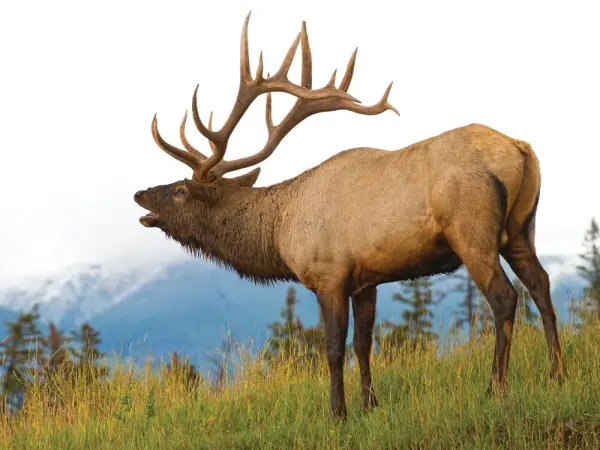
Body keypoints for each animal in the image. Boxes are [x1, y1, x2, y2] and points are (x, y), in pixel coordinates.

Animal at [134, 11, 564, 418]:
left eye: (179, 191)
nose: (139, 194)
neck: (280, 233)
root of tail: (520, 148)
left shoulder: (329, 275)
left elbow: (333, 349)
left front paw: (337, 413)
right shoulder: (365, 280)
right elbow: (363, 344)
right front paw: (369, 404)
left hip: (472, 231)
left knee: (505, 296)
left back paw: (496, 387)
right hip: (520, 229)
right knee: (540, 284)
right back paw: (556, 373)